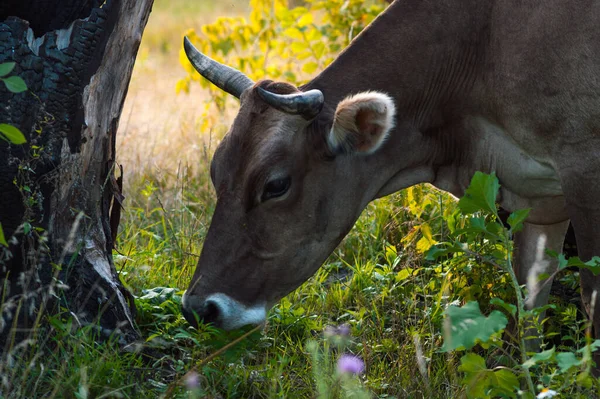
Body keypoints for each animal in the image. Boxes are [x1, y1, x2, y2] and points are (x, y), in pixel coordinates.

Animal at [180, 0, 600, 360]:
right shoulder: (538, 202)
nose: (199, 308)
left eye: (276, 185)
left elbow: (589, 300)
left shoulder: (583, 165)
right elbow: (526, 321)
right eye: (216, 170)